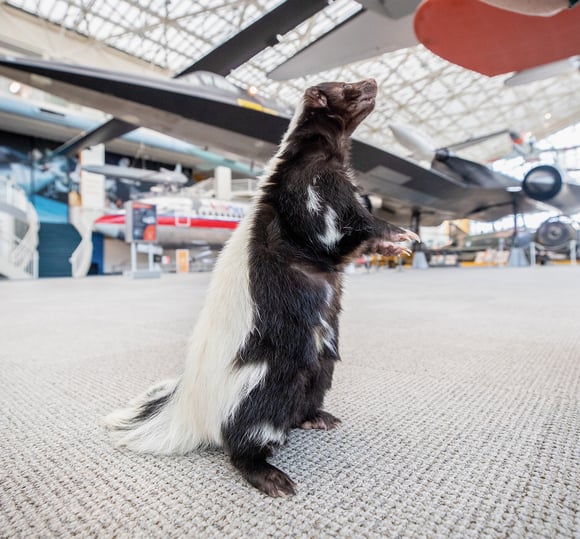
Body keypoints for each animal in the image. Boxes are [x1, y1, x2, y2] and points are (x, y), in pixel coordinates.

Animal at [104, 79, 420, 498]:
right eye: (346, 88)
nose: (372, 83)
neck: (309, 152)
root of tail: (189, 407)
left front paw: (395, 244)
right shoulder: (311, 191)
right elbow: (339, 231)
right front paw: (395, 233)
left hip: (317, 366)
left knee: (308, 394)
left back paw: (316, 418)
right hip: (265, 376)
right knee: (248, 431)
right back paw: (268, 474)